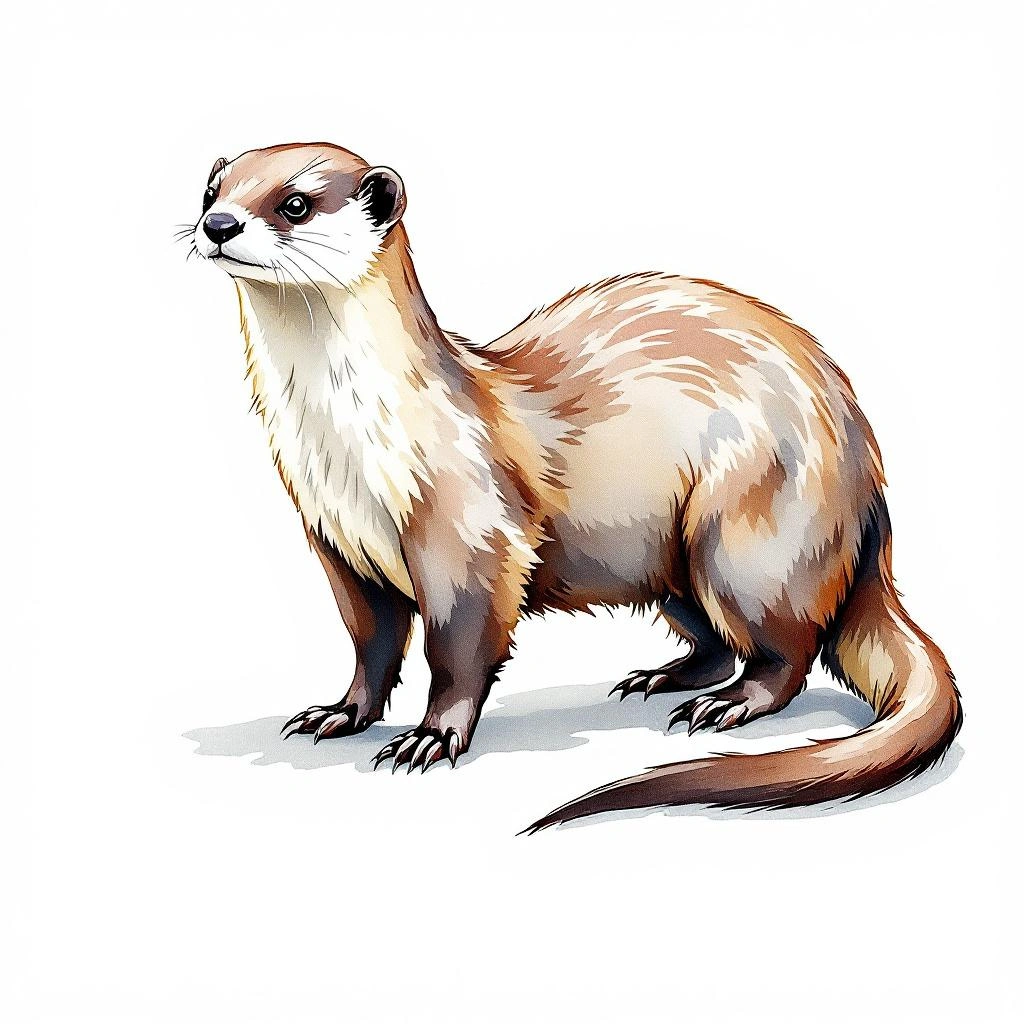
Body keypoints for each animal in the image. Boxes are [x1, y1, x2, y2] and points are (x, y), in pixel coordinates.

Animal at [186, 141, 961, 832]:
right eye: (211, 190)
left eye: (294, 203)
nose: (219, 224)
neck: (353, 453)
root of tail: (867, 478)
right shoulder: (337, 541)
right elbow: (370, 642)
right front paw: (341, 712)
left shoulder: (468, 531)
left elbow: (458, 647)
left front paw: (433, 735)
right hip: (670, 562)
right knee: (714, 640)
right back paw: (660, 678)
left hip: (748, 533)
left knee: (787, 648)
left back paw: (731, 703)